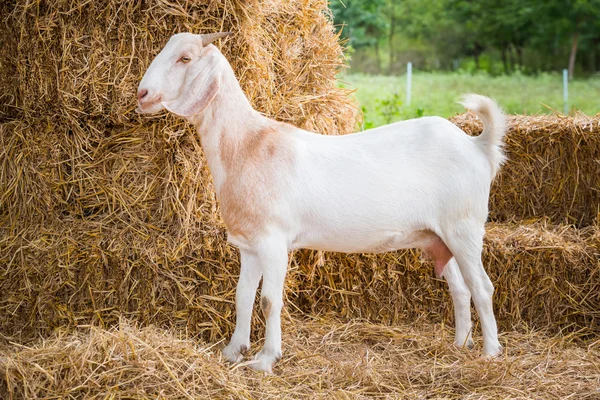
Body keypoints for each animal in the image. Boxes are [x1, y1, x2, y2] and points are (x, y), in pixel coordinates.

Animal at [137, 32, 506, 374]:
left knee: (482, 287)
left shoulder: (273, 241)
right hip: (439, 236)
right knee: (460, 289)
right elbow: (242, 296)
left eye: (185, 58)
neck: (248, 145)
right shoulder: (249, 244)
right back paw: (460, 344)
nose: (142, 95)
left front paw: (266, 359)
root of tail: (477, 145)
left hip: (464, 227)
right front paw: (234, 350)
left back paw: (490, 352)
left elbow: (269, 301)